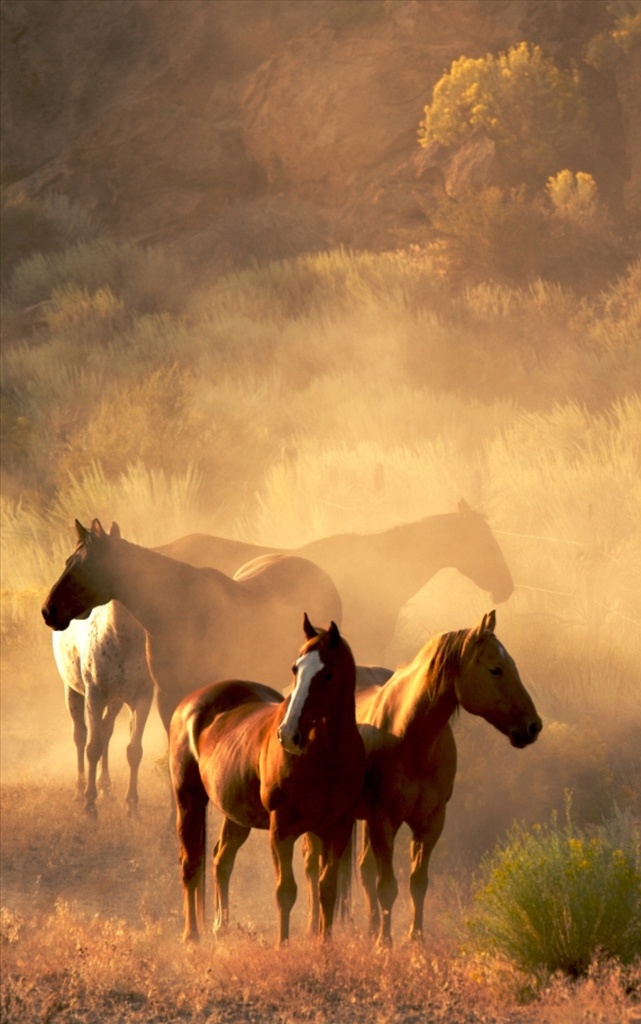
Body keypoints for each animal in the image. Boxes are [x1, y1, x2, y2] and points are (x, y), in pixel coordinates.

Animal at [42, 520, 344, 743]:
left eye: (87, 567)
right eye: (68, 561)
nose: (48, 610)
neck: (178, 613)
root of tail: (322, 574)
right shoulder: (166, 699)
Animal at [169, 614, 366, 944]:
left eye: (327, 675)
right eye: (295, 669)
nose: (288, 734)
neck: (325, 756)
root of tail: (190, 704)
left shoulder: (336, 828)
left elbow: (327, 889)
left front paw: (323, 945)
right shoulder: (281, 828)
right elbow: (285, 891)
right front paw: (282, 946)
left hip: (236, 816)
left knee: (221, 859)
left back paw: (221, 926)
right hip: (188, 800)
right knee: (190, 864)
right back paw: (191, 936)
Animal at [304, 610, 542, 944]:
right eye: (495, 669)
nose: (533, 726)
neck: (410, 735)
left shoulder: (430, 822)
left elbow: (417, 883)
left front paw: (414, 940)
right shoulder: (384, 820)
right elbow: (387, 886)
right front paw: (385, 944)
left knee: (363, 871)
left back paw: (370, 928)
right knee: (313, 869)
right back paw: (315, 928)